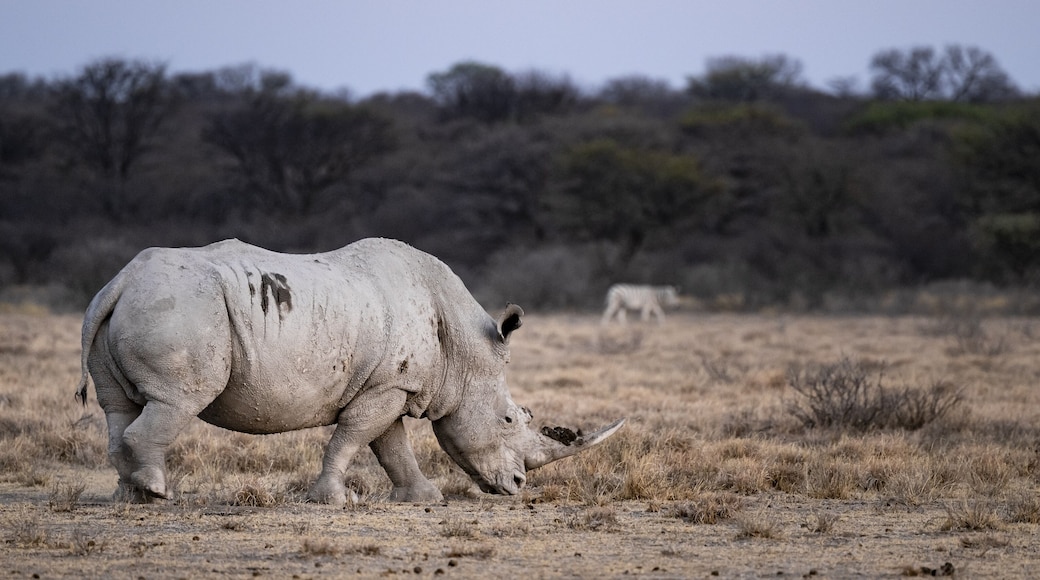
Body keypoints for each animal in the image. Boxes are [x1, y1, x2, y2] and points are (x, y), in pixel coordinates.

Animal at [75, 238, 624, 504]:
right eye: (511, 419)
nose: (516, 486)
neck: (464, 352)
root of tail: (121, 281)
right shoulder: (388, 384)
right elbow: (355, 437)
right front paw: (334, 500)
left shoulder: (393, 384)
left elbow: (390, 444)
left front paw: (422, 498)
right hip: (183, 308)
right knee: (178, 399)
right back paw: (157, 492)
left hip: (133, 307)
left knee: (119, 406)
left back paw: (130, 497)